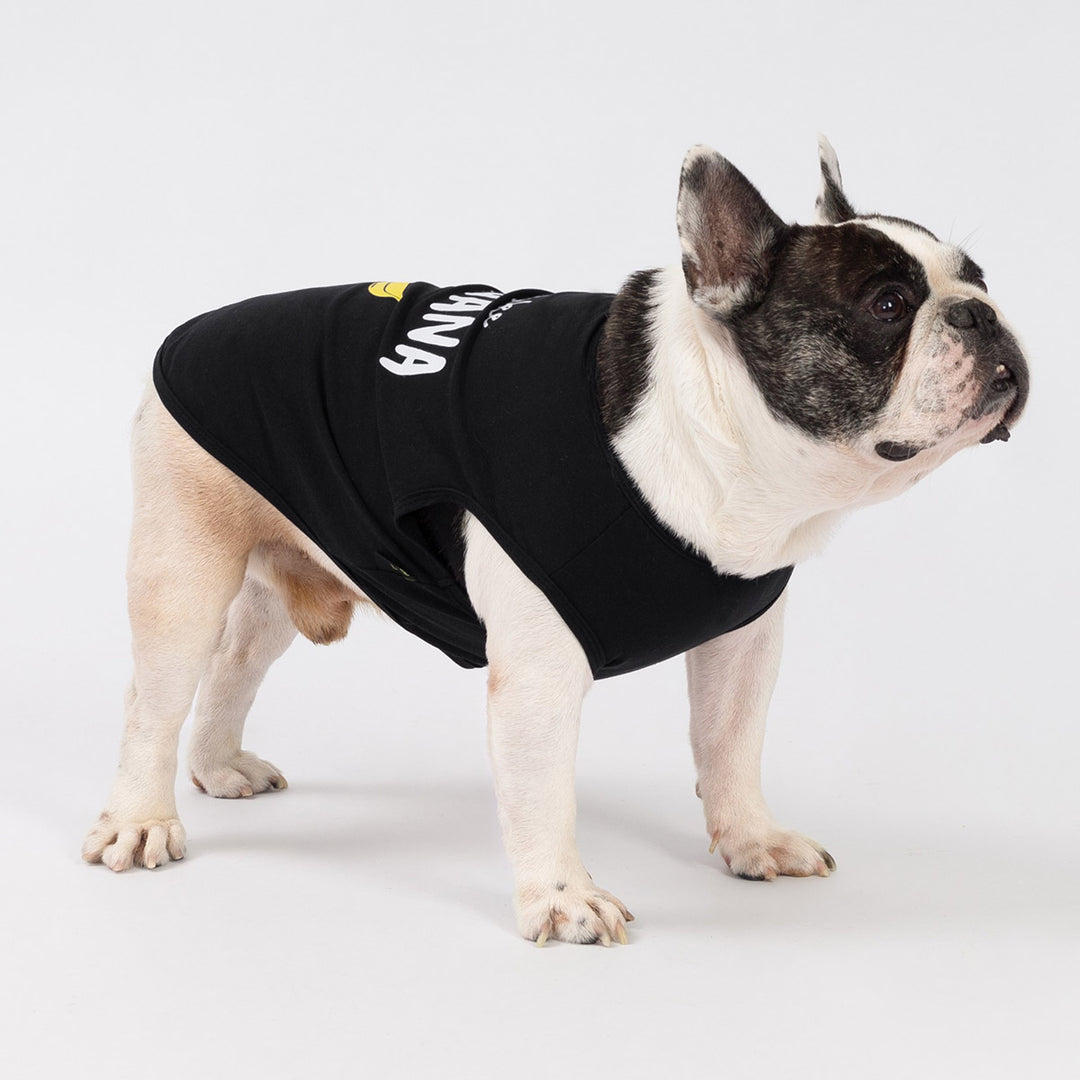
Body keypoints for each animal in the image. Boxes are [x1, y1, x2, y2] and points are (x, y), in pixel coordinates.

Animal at [83, 138, 1029, 946]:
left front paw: (750, 839)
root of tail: (195, 327)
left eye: (979, 280)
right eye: (888, 306)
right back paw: (140, 819)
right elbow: (543, 790)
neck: (707, 430)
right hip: (183, 564)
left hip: (281, 561)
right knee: (153, 698)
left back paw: (219, 767)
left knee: (236, 664)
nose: (981, 316)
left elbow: (730, 744)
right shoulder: (539, 674)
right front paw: (563, 899)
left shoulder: (743, 645)